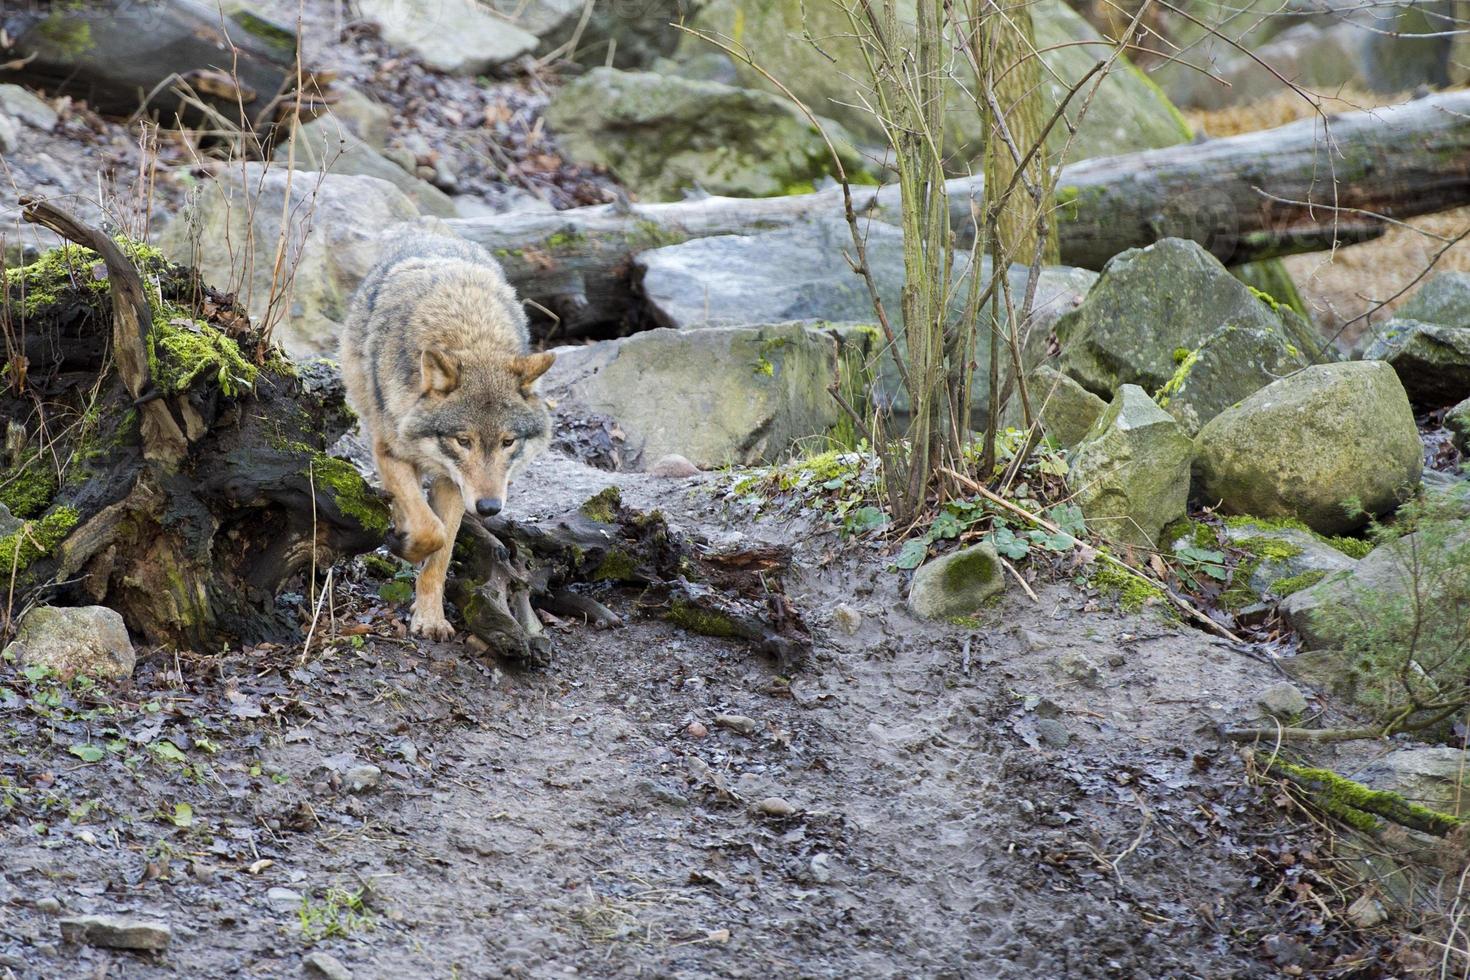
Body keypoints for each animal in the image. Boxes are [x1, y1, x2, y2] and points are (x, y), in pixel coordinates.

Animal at [341, 233, 552, 640]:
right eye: (463, 441)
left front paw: (430, 618)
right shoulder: (390, 452)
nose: (489, 508)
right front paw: (405, 543)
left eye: (507, 442)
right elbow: (430, 530)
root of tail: (431, 232)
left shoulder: (453, 483)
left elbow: (440, 552)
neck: (469, 331)